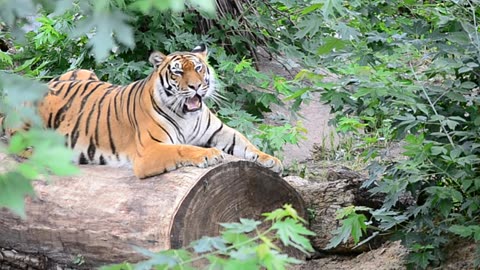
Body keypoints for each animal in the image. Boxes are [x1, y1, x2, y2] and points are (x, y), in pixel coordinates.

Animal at [30, 45, 284, 178]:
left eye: (199, 68)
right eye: (178, 72)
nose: (195, 86)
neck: (187, 115)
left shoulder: (220, 131)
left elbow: (245, 143)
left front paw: (271, 160)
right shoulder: (149, 151)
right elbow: (181, 148)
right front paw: (209, 154)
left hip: (83, 71)